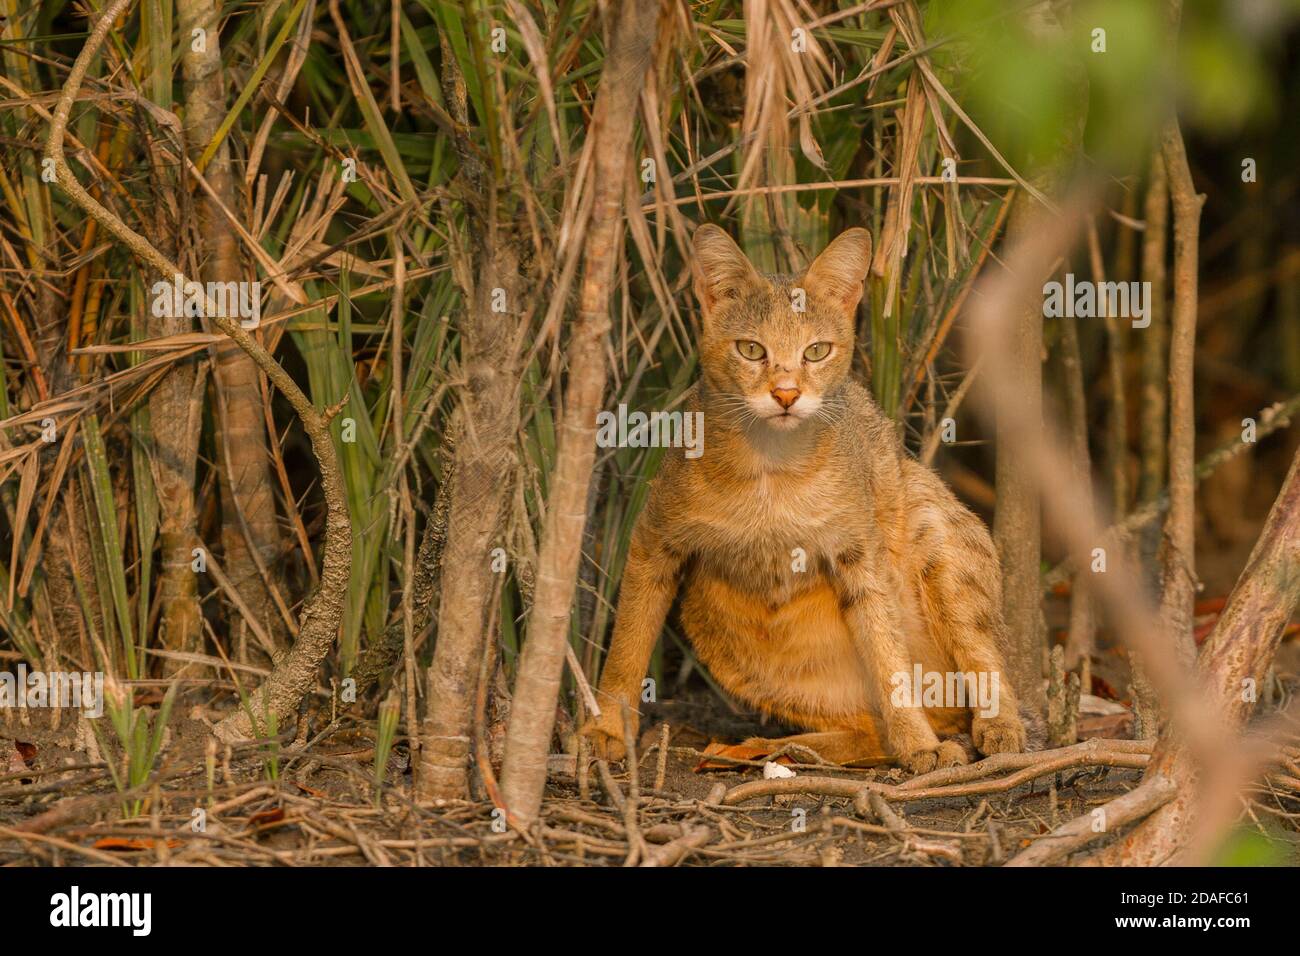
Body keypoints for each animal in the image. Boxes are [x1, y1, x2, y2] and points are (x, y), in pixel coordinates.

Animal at [587, 222, 1024, 770]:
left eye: (816, 351)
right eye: (751, 349)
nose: (786, 393)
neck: (772, 472)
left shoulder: (861, 552)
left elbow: (889, 655)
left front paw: (918, 742)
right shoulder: (654, 537)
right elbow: (626, 642)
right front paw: (604, 727)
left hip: (933, 523)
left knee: (981, 658)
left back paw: (992, 728)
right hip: (716, 627)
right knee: (870, 726)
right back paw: (773, 747)